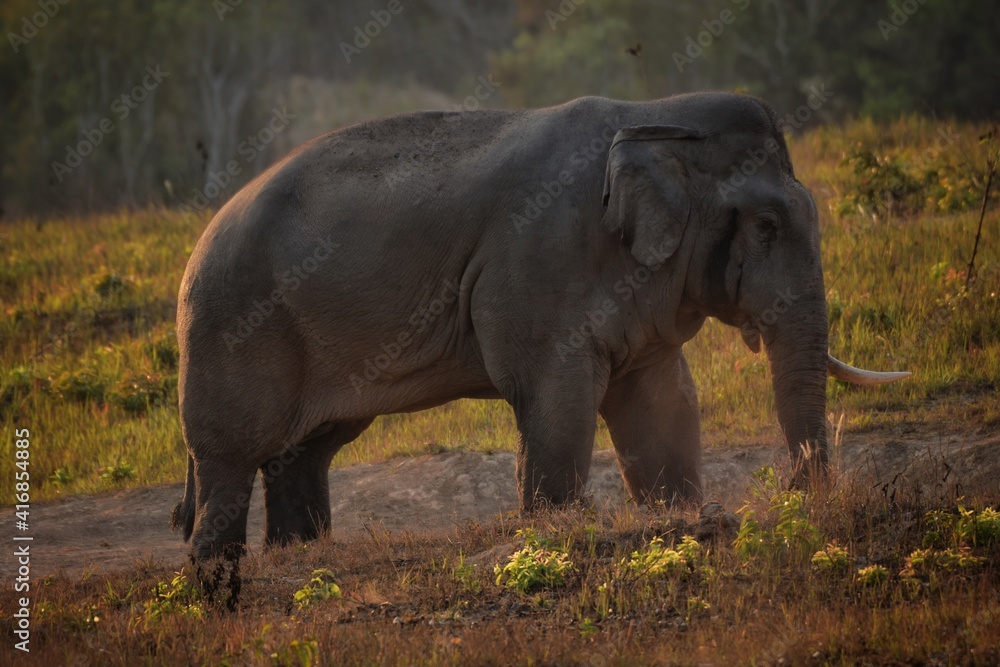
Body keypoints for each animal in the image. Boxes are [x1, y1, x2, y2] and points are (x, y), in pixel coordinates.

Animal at [172, 92, 909, 559]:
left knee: (306, 450)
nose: (792, 492)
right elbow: (556, 392)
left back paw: (296, 550)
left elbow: (662, 399)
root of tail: (200, 239)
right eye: (765, 226)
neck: (654, 119)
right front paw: (556, 526)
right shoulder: (539, 260)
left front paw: (675, 514)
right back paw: (215, 569)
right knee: (232, 456)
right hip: (231, 327)